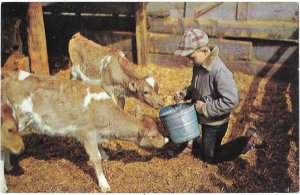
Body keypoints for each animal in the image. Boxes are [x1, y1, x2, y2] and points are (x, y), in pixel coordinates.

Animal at [1, 70, 168, 192]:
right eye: (153, 136)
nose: (165, 141)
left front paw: (105, 153)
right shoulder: (86, 132)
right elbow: (95, 158)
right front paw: (104, 184)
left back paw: (9, 167)